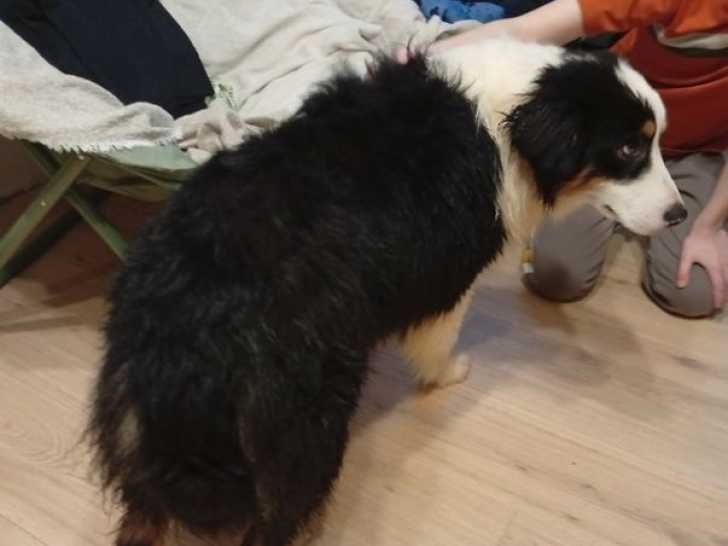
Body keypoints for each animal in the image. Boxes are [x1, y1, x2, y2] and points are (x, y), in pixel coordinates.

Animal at [88, 39, 685, 546]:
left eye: (654, 140)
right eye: (629, 148)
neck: (517, 121)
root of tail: (184, 334)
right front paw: (449, 374)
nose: (679, 215)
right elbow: (438, 342)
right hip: (303, 425)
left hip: (139, 432)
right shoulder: (448, 279)